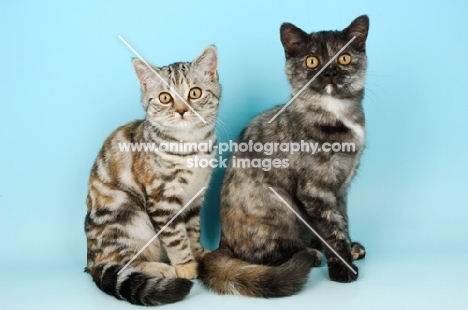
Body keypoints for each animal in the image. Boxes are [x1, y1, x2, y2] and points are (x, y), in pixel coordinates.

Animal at [85, 46, 220, 306]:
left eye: (195, 93)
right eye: (165, 98)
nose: (181, 110)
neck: (192, 145)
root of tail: (90, 260)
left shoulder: (195, 196)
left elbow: (193, 229)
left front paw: (198, 254)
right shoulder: (162, 198)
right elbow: (176, 236)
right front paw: (185, 264)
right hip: (128, 213)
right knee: (123, 262)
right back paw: (162, 268)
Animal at [201, 15, 370, 296]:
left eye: (344, 58)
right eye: (312, 61)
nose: (329, 72)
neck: (338, 115)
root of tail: (222, 243)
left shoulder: (340, 188)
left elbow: (341, 221)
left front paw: (348, 246)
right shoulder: (315, 190)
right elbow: (331, 230)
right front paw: (342, 267)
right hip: (280, 208)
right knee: (262, 255)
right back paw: (310, 254)